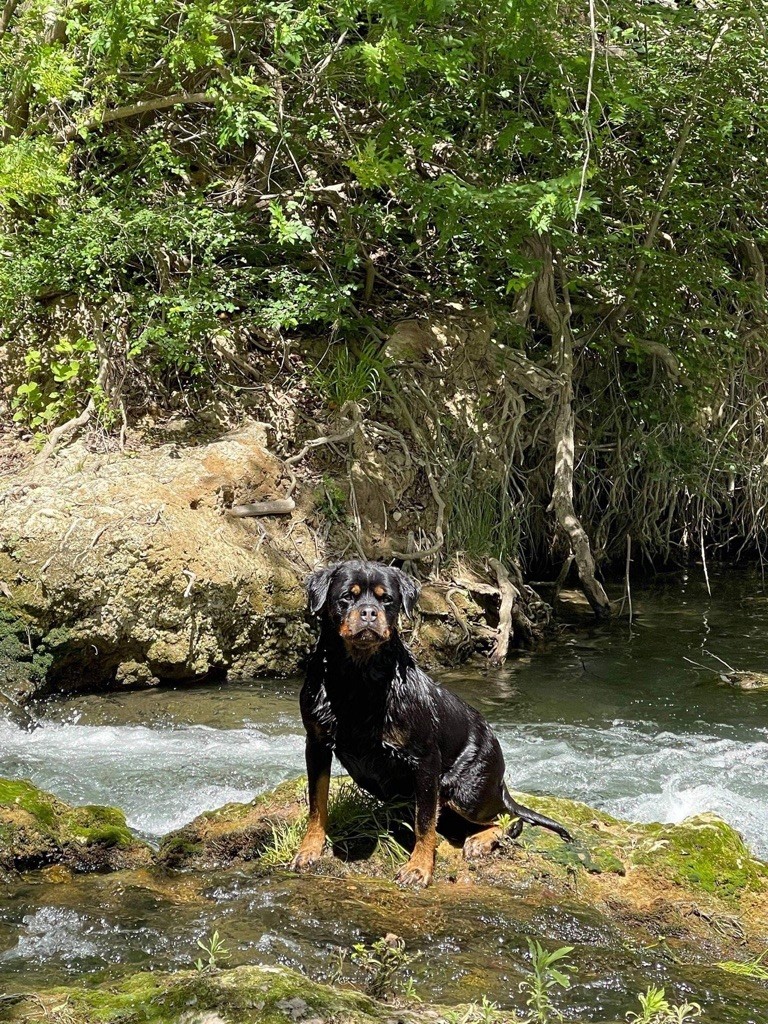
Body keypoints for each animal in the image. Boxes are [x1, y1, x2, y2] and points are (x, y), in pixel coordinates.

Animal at [290, 561, 573, 888]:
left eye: (387, 600)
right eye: (348, 596)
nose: (369, 612)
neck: (357, 678)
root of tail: (501, 778)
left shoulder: (424, 760)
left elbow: (424, 822)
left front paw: (419, 868)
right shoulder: (316, 744)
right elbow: (317, 804)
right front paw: (309, 850)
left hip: (464, 790)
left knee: (509, 819)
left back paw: (481, 840)